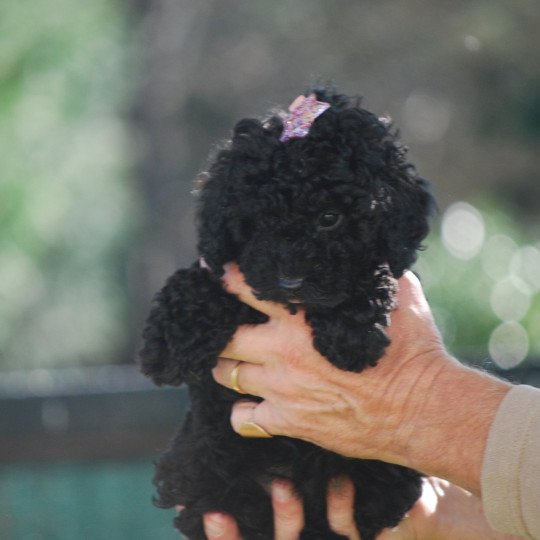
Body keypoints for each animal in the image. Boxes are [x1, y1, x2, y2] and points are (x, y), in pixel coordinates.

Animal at [140, 88, 434, 540]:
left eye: (330, 218)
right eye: (258, 220)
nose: (290, 280)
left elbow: (369, 275)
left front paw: (353, 333)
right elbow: (201, 280)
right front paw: (168, 344)